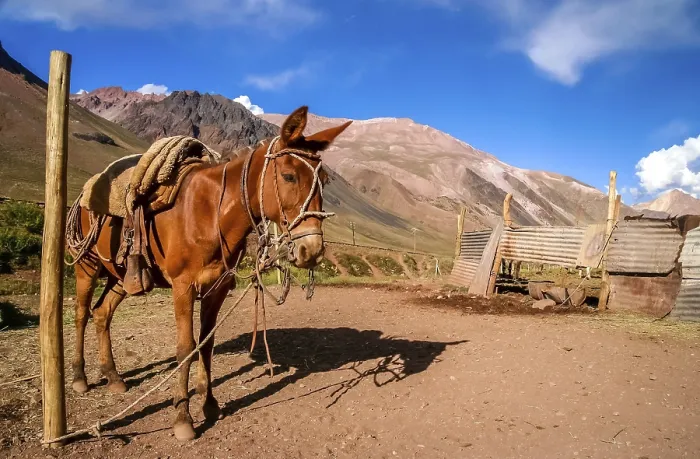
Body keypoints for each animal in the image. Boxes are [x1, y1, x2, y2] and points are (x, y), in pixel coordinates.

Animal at [68, 106, 352, 441]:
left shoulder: (217, 288)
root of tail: (84, 196)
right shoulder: (183, 287)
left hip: (122, 277)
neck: (210, 212)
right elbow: (185, 348)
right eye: (288, 175)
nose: (312, 250)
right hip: (87, 267)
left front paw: (210, 404)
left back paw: (113, 377)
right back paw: (79, 377)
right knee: (82, 313)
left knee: (102, 314)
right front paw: (182, 418)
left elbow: (206, 344)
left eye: (324, 180)